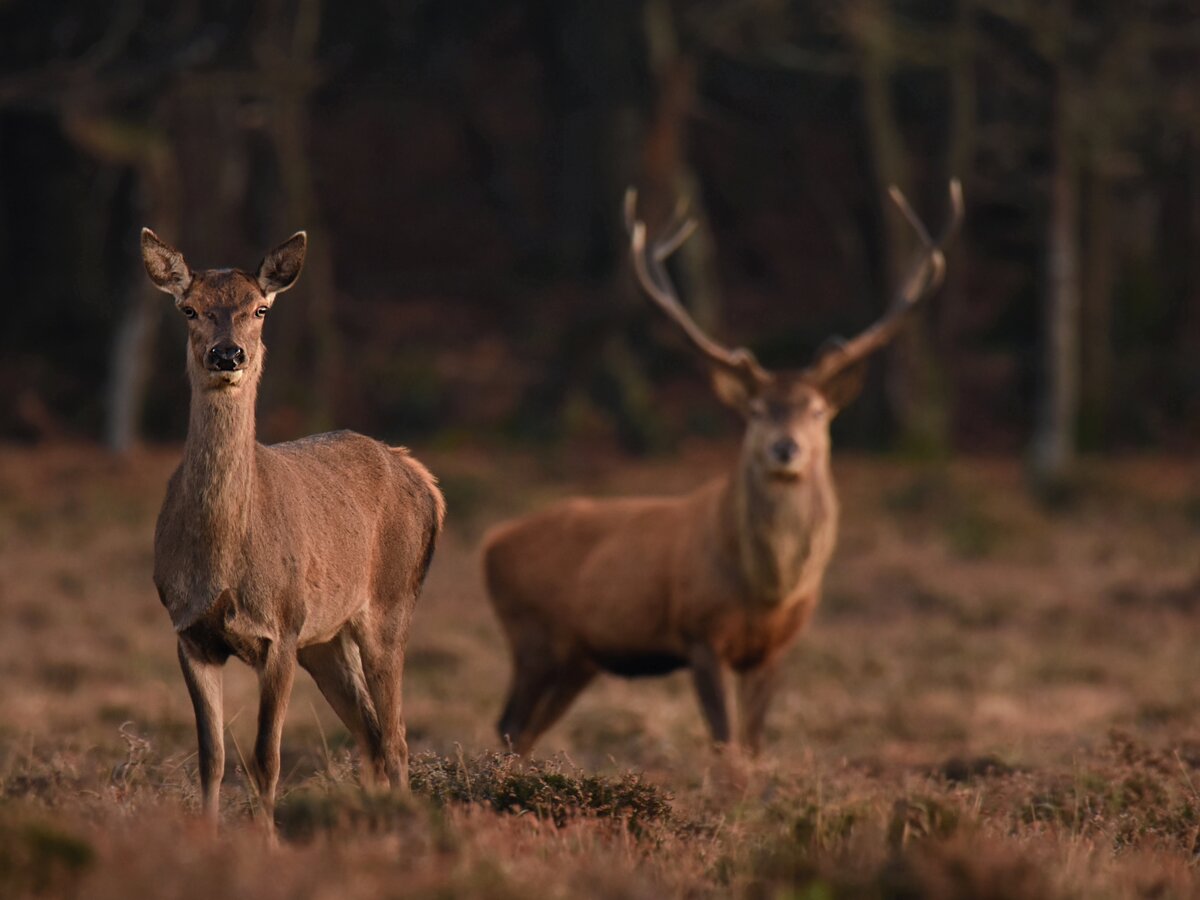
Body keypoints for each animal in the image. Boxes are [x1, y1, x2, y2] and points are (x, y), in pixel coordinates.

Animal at [144, 226, 446, 830]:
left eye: (260, 308)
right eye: (189, 308)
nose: (227, 353)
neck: (223, 560)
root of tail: (423, 478)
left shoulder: (280, 628)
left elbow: (266, 758)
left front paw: (267, 841)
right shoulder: (189, 631)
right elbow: (211, 757)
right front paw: (207, 838)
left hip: (389, 606)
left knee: (396, 737)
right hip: (325, 639)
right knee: (369, 732)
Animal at [482, 180, 960, 758]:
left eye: (817, 411)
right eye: (755, 410)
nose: (785, 448)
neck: (768, 591)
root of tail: (490, 543)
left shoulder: (776, 649)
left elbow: (752, 747)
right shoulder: (699, 632)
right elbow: (725, 744)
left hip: (580, 656)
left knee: (526, 727)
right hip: (533, 636)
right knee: (509, 720)